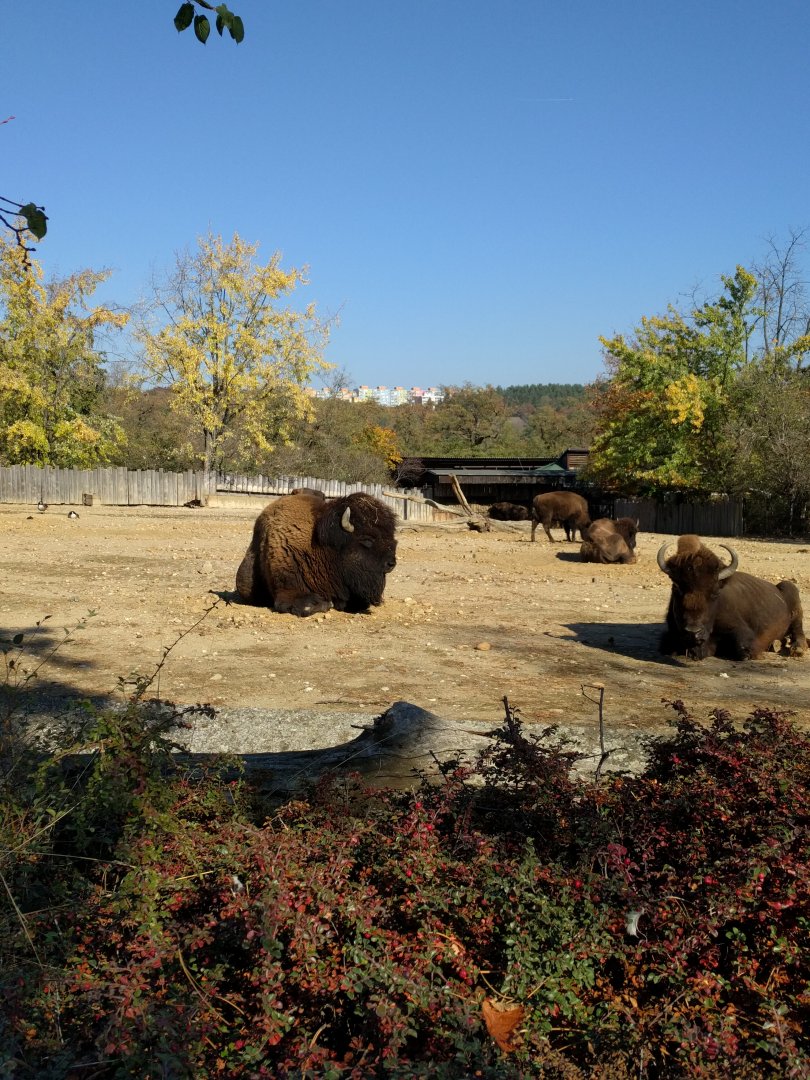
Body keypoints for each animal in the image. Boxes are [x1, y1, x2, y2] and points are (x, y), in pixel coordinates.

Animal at [657, 534, 807, 660]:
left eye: (715, 592)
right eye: (676, 588)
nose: (693, 632)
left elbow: (744, 650)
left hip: (793, 598)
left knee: (798, 630)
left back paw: (797, 649)